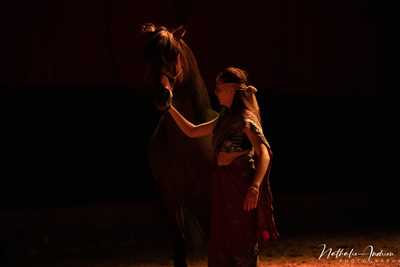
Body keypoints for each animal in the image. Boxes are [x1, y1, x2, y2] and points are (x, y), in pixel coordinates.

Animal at [140, 24, 216, 266]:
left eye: (174, 54)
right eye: (147, 56)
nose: (161, 96)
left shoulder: (205, 194)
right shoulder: (171, 195)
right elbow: (179, 244)